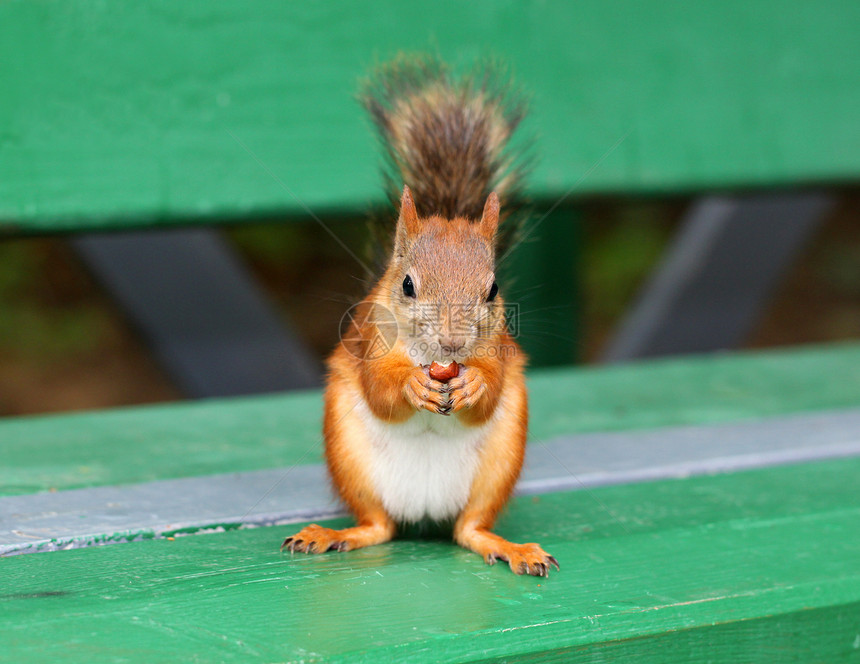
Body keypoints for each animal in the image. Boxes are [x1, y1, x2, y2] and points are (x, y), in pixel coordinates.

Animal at [282, 55, 556, 576]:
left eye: (493, 290)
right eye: (407, 285)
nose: (451, 345)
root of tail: (426, 511)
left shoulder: (500, 348)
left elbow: (492, 385)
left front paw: (475, 383)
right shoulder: (368, 337)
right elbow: (379, 388)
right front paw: (411, 385)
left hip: (499, 463)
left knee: (469, 529)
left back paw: (509, 546)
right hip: (350, 459)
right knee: (377, 526)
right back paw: (332, 534)